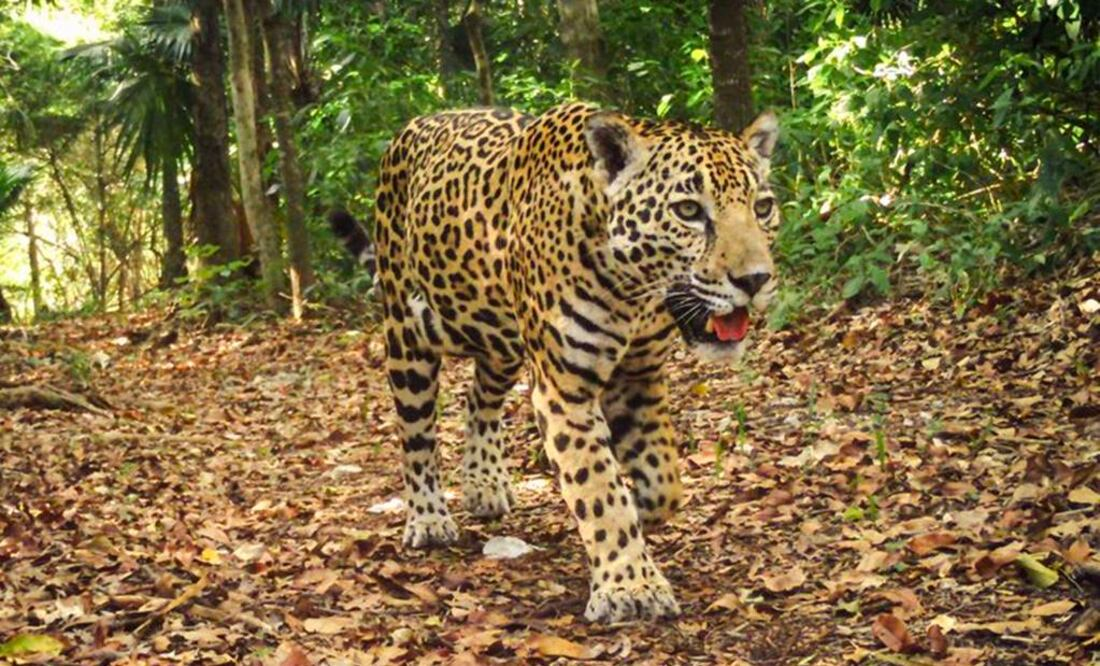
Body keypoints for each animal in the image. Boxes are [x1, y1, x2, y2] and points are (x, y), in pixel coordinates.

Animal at [330, 102, 780, 623]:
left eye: (762, 207)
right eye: (688, 211)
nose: (756, 280)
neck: (634, 293)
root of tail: (414, 125)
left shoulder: (638, 378)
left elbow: (663, 479)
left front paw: (639, 513)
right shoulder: (566, 387)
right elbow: (599, 488)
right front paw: (630, 586)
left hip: (500, 339)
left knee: (478, 399)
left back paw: (484, 484)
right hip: (412, 333)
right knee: (416, 433)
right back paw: (428, 517)